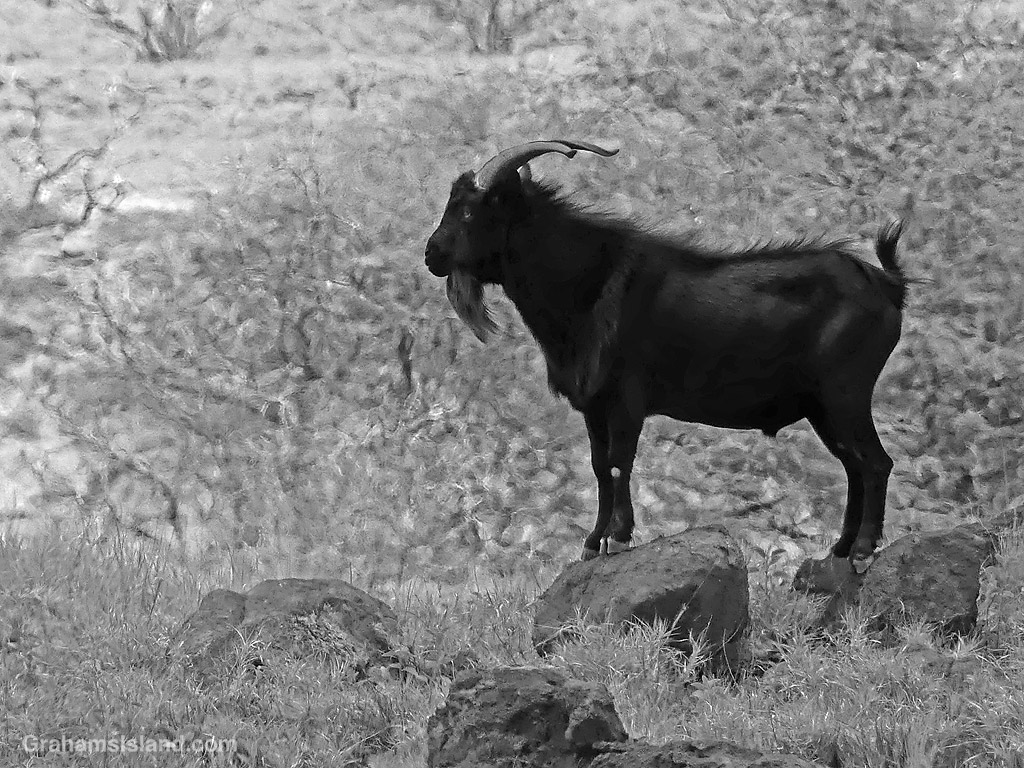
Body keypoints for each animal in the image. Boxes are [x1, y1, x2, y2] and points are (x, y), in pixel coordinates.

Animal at [424, 140, 908, 567]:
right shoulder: (594, 406)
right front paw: (592, 543)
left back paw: (863, 552)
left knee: (875, 464)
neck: (589, 285)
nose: (431, 255)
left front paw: (618, 539)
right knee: (853, 466)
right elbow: (599, 467)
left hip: (846, 392)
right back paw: (840, 550)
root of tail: (886, 284)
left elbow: (618, 464)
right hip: (822, 407)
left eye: (469, 210)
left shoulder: (626, 399)